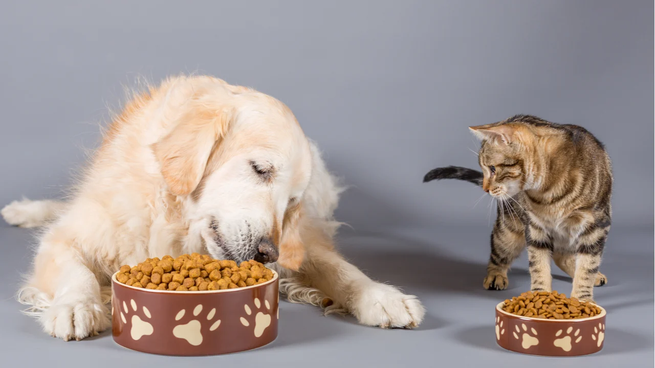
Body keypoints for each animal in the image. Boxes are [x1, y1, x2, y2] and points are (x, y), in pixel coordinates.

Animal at [1, 75, 426, 342]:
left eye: (292, 202)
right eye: (261, 168)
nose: (268, 253)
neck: (175, 221)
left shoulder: (300, 242)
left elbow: (340, 269)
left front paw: (382, 297)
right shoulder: (69, 237)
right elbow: (77, 272)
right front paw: (77, 306)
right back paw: (23, 211)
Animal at [428, 115, 612, 302]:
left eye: (492, 169)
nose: (485, 189)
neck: (549, 191)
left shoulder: (595, 226)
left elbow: (587, 267)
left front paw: (582, 300)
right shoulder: (535, 227)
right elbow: (539, 267)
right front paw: (540, 297)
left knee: (564, 256)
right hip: (508, 230)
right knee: (500, 253)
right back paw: (495, 275)